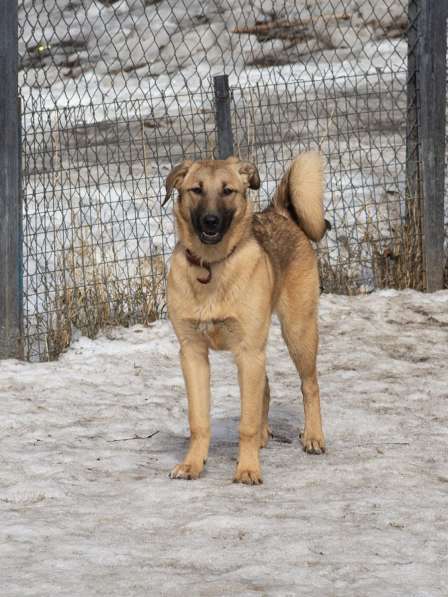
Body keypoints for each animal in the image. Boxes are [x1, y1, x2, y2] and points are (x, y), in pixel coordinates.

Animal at [164, 151, 326, 482]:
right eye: (196, 190)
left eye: (228, 191)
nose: (210, 220)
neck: (211, 267)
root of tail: (279, 213)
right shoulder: (193, 353)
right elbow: (199, 420)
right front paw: (192, 464)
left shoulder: (249, 351)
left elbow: (246, 424)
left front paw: (248, 469)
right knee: (265, 386)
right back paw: (265, 436)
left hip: (298, 332)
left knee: (310, 385)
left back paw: (313, 437)